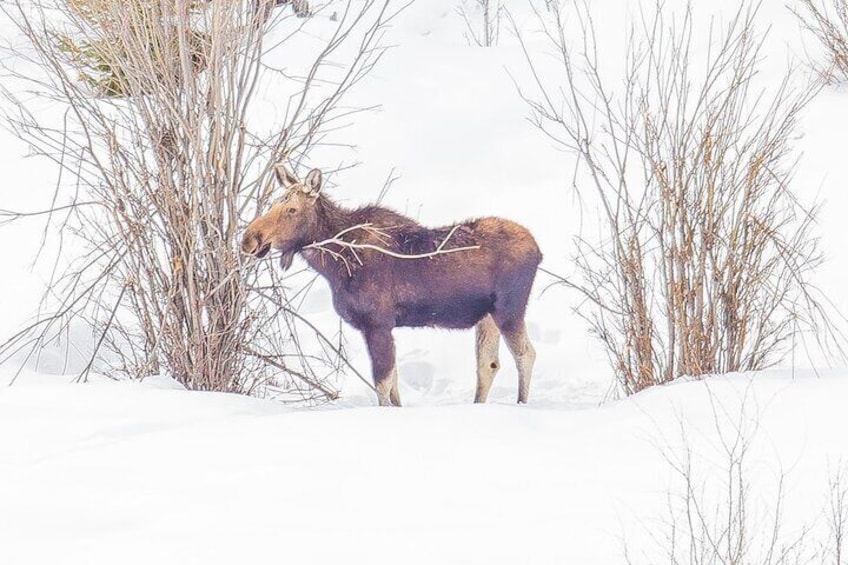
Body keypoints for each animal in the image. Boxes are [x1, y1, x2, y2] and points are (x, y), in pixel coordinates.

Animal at [240, 166, 544, 406]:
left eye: (291, 209)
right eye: (272, 204)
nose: (249, 239)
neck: (334, 265)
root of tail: (538, 250)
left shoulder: (378, 323)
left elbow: (383, 385)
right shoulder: (378, 327)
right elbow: (394, 385)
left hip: (509, 309)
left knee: (526, 354)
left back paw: (522, 404)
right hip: (487, 315)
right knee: (488, 364)